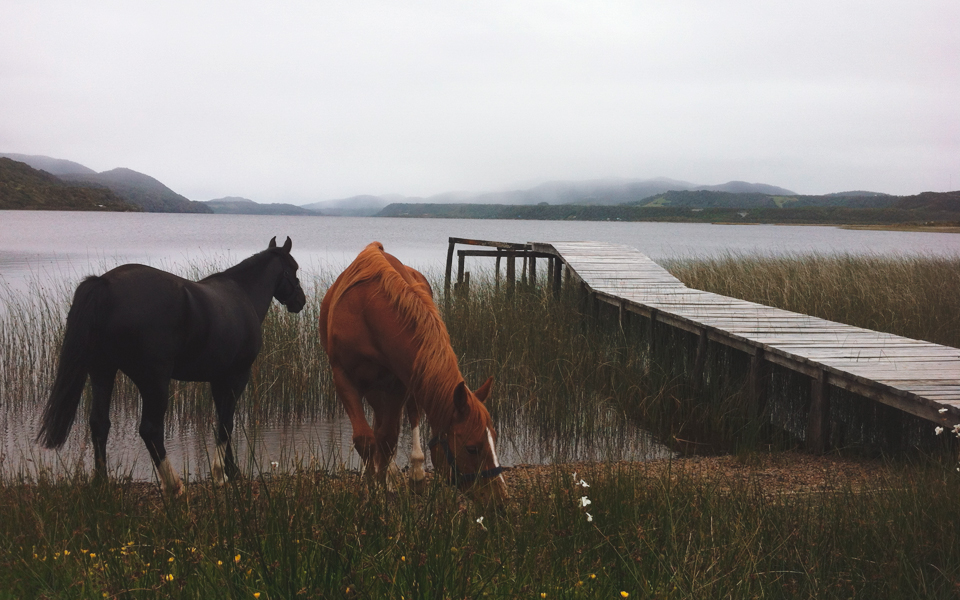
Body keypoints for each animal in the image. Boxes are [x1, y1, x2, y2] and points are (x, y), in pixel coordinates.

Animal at [37, 237, 306, 494]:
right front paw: (221, 474)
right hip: (154, 381)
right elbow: (226, 423)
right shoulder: (237, 376)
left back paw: (102, 482)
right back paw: (174, 485)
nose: (300, 300)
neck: (242, 294)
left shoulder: (218, 380)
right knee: (150, 430)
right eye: (293, 268)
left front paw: (232, 470)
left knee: (99, 423)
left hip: (102, 371)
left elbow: (223, 421)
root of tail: (105, 284)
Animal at [318, 241, 510, 504]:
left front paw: (383, 485)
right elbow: (366, 439)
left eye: (494, 437)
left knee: (409, 415)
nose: (500, 500)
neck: (367, 313)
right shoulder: (343, 377)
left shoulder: (400, 381)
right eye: (472, 448)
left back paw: (415, 474)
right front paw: (374, 488)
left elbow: (388, 437)